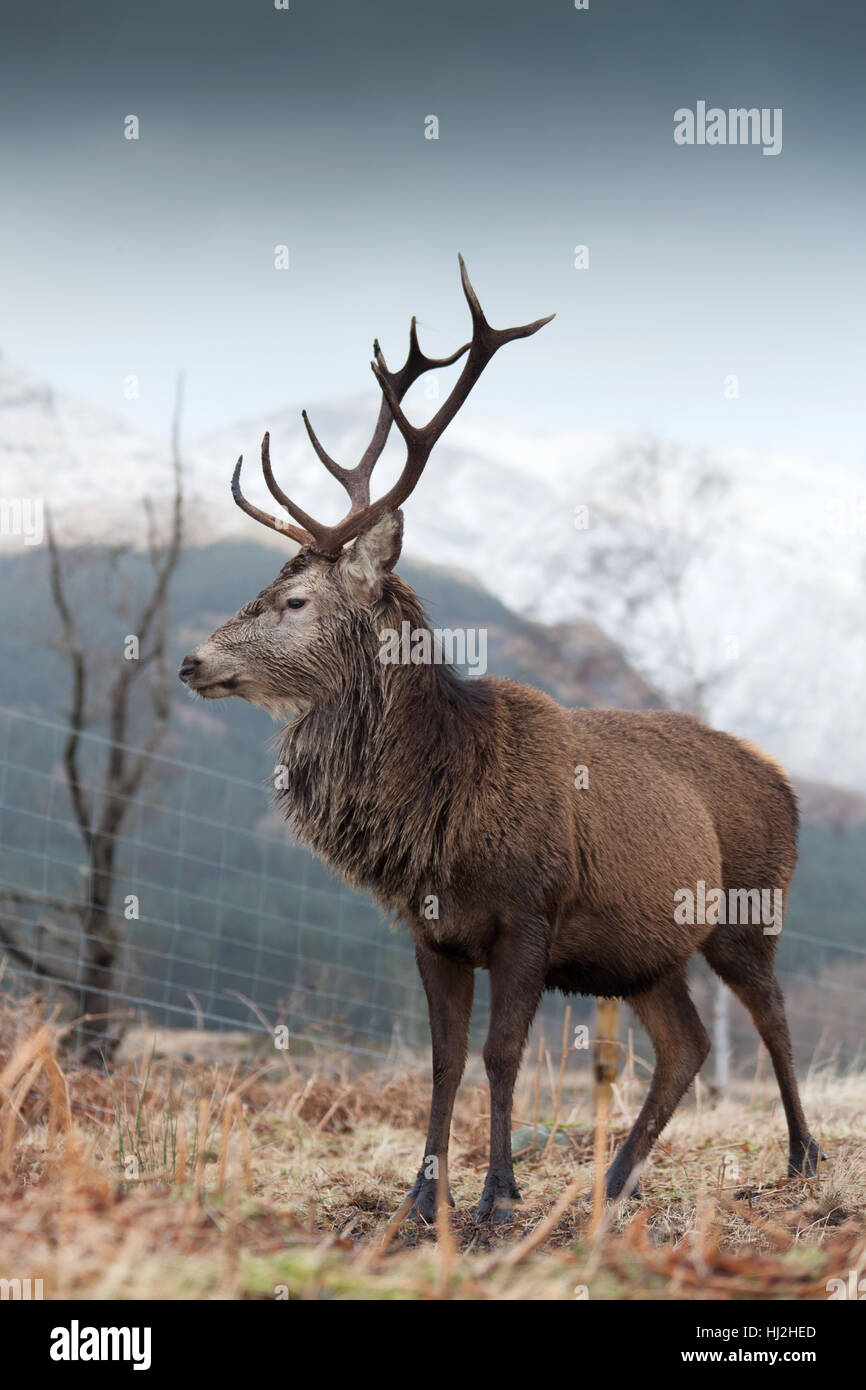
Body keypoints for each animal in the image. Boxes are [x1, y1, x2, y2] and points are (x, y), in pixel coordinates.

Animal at [179, 258, 821, 1223]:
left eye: (294, 600)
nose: (190, 659)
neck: (443, 803)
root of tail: (784, 780)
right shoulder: (432, 931)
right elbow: (443, 1062)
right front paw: (420, 1197)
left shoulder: (531, 911)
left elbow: (500, 1054)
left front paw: (497, 1193)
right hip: (643, 955)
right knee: (687, 1043)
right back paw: (612, 1180)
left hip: (750, 906)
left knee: (771, 1014)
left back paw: (802, 1157)